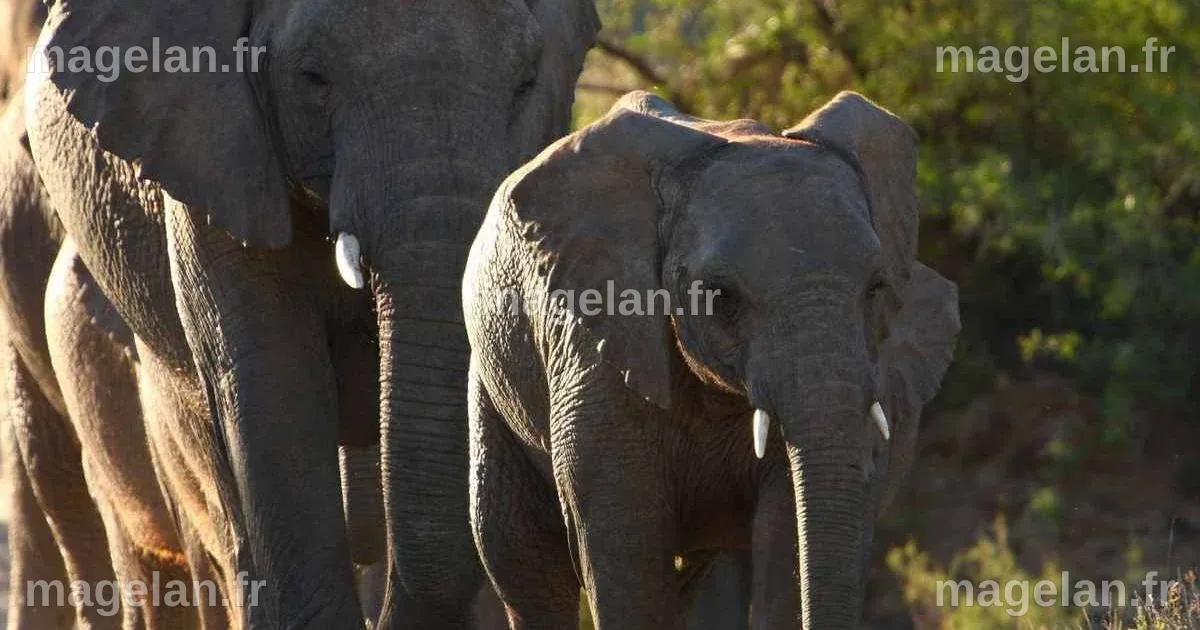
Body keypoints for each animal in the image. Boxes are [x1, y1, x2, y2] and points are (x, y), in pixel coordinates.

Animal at [461, 91, 961, 628]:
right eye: (721, 296)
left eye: (876, 288)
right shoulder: (597, 353)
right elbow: (624, 551)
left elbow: (788, 533)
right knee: (522, 558)